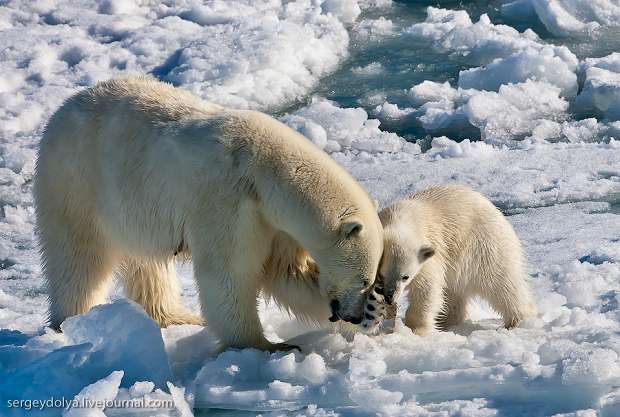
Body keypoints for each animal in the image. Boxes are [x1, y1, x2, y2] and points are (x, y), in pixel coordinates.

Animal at [36, 75, 382, 352]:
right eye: (364, 278)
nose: (352, 314)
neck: (263, 170)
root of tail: (63, 109)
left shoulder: (272, 223)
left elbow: (287, 273)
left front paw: (375, 316)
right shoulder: (226, 200)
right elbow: (227, 272)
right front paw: (267, 345)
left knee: (146, 264)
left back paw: (175, 316)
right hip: (76, 182)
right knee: (79, 260)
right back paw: (72, 323)